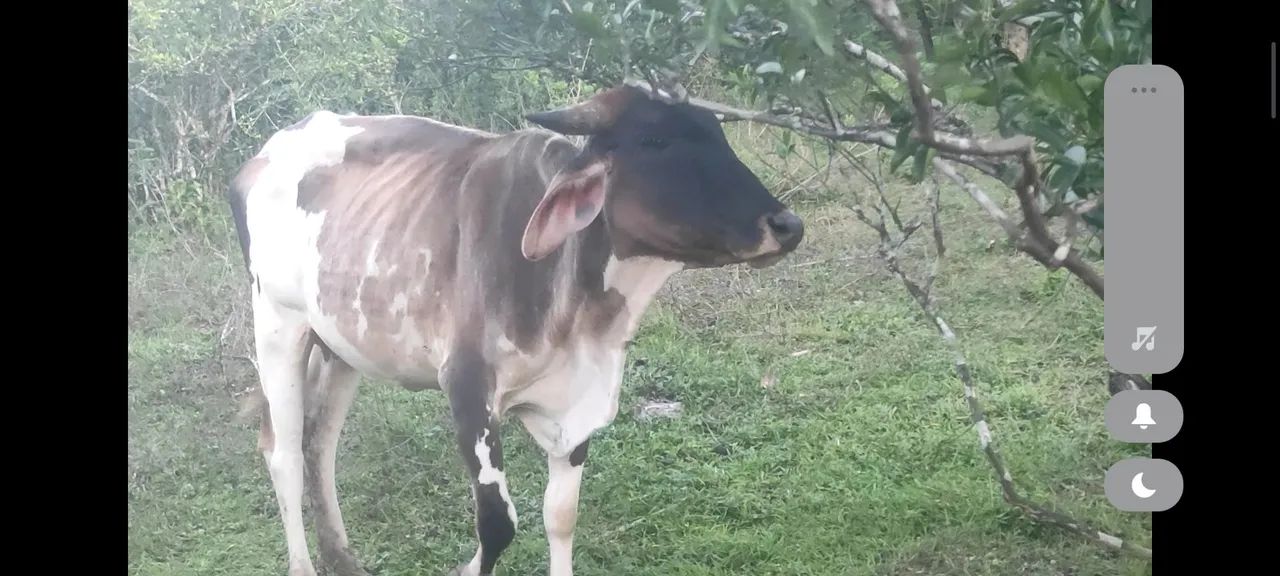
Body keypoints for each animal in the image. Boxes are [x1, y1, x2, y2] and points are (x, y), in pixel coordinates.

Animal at [228, 82, 805, 576]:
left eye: (717, 133)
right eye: (654, 139)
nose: (787, 225)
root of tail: (264, 153)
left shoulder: (576, 407)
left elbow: (561, 514)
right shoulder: (467, 389)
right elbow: (497, 525)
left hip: (342, 343)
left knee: (319, 443)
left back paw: (343, 557)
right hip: (278, 325)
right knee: (283, 452)